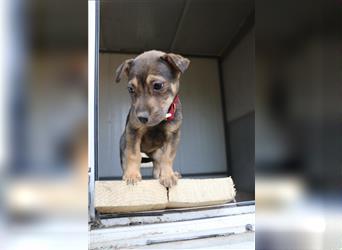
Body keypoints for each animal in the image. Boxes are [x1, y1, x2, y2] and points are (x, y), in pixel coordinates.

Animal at [115, 50, 190, 188]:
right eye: (130, 89)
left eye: (158, 85)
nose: (141, 118)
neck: (159, 121)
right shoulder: (133, 131)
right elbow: (133, 155)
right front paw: (132, 175)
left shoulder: (173, 135)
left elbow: (168, 157)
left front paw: (167, 176)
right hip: (123, 143)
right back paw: (127, 173)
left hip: (157, 152)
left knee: (158, 163)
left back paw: (165, 174)